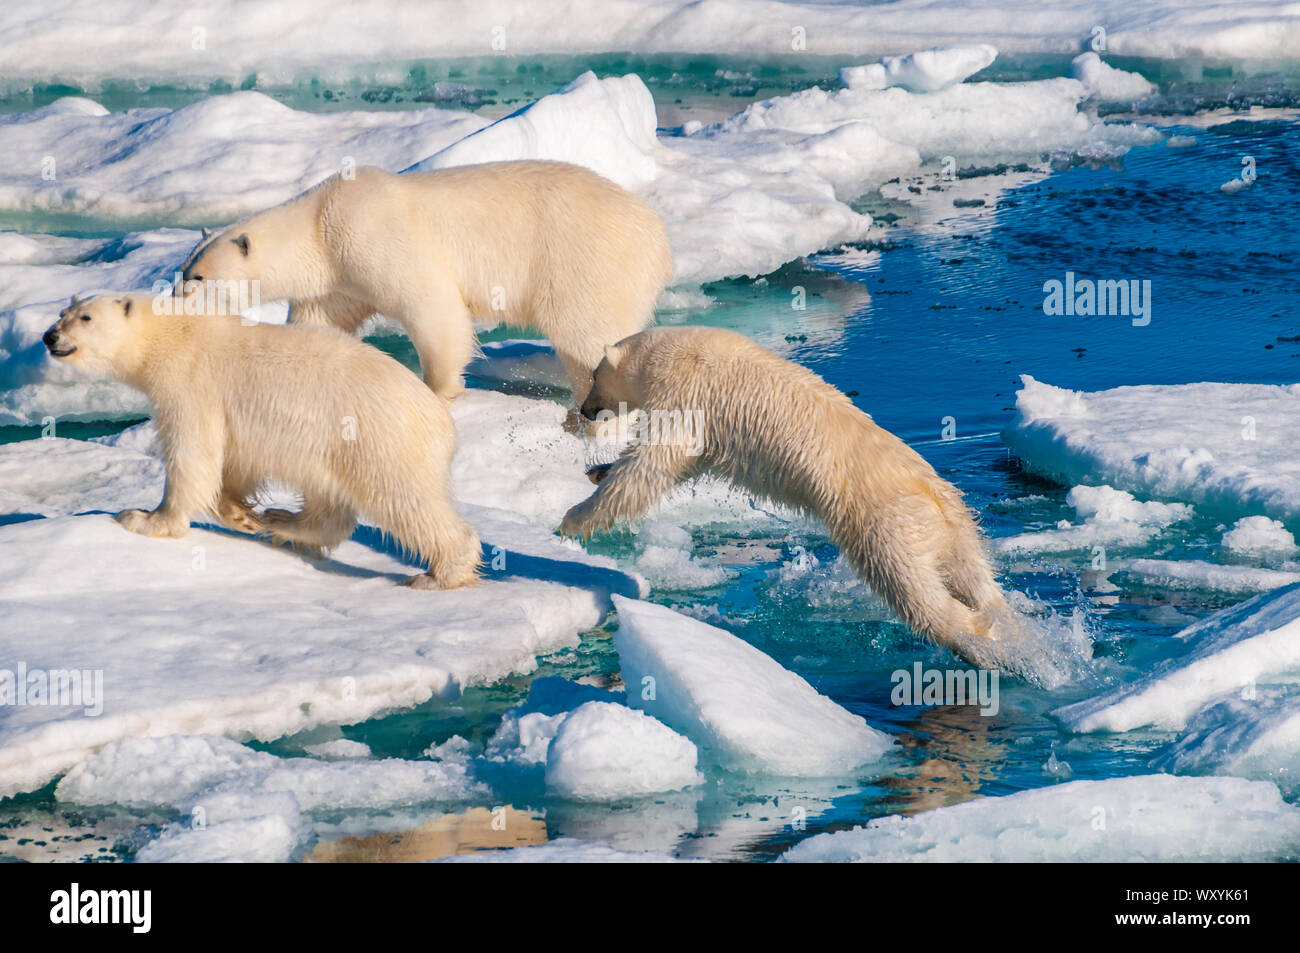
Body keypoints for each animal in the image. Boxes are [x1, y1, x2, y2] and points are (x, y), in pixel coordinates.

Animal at [43, 293, 480, 590]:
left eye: (85, 317)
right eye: (62, 313)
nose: (49, 336)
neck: (172, 335)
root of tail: (440, 419)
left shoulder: (192, 384)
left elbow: (192, 455)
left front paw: (144, 518)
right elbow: (234, 463)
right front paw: (241, 514)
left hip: (377, 438)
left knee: (406, 500)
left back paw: (440, 575)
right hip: (335, 443)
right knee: (330, 502)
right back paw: (284, 521)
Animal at [177, 160, 673, 408]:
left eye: (198, 277)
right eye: (183, 271)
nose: (176, 296)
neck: (320, 223)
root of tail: (657, 235)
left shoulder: (371, 234)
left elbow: (430, 304)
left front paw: (437, 388)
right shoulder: (338, 278)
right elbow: (321, 320)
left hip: (585, 261)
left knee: (588, 333)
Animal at [558, 326, 1012, 666]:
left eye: (594, 376)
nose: (584, 409)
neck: (667, 354)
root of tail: (933, 499)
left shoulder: (685, 392)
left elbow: (653, 463)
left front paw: (574, 518)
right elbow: (683, 464)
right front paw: (597, 470)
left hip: (884, 522)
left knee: (911, 587)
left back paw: (975, 642)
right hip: (954, 523)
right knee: (973, 576)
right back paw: (1004, 622)